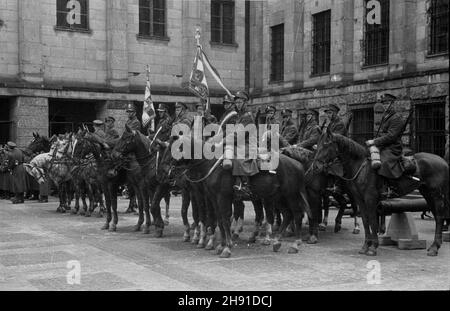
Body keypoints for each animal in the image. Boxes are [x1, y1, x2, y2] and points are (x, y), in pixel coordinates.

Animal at [312, 130, 450, 258]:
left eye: (326, 144)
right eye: (318, 143)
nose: (315, 166)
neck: (361, 167)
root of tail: (443, 161)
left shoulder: (370, 199)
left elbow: (373, 221)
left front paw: (373, 247)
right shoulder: (360, 200)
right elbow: (365, 220)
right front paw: (365, 246)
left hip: (436, 194)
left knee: (439, 217)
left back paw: (434, 248)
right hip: (426, 193)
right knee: (437, 215)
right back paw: (435, 245)